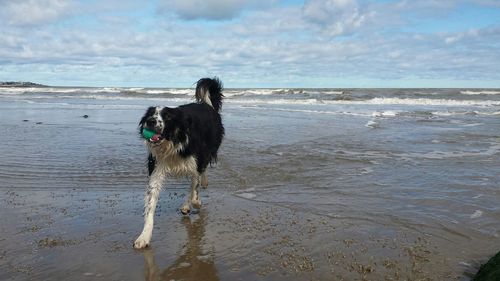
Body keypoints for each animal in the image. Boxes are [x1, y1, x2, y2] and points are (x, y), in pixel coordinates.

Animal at [135, 77, 225, 247]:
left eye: (167, 117)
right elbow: (150, 203)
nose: (150, 121)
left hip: (210, 148)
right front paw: (144, 236)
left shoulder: (197, 161)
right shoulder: (157, 166)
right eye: (151, 114)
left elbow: (194, 189)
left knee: (202, 173)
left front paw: (195, 202)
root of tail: (207, 105)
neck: (172, 143)